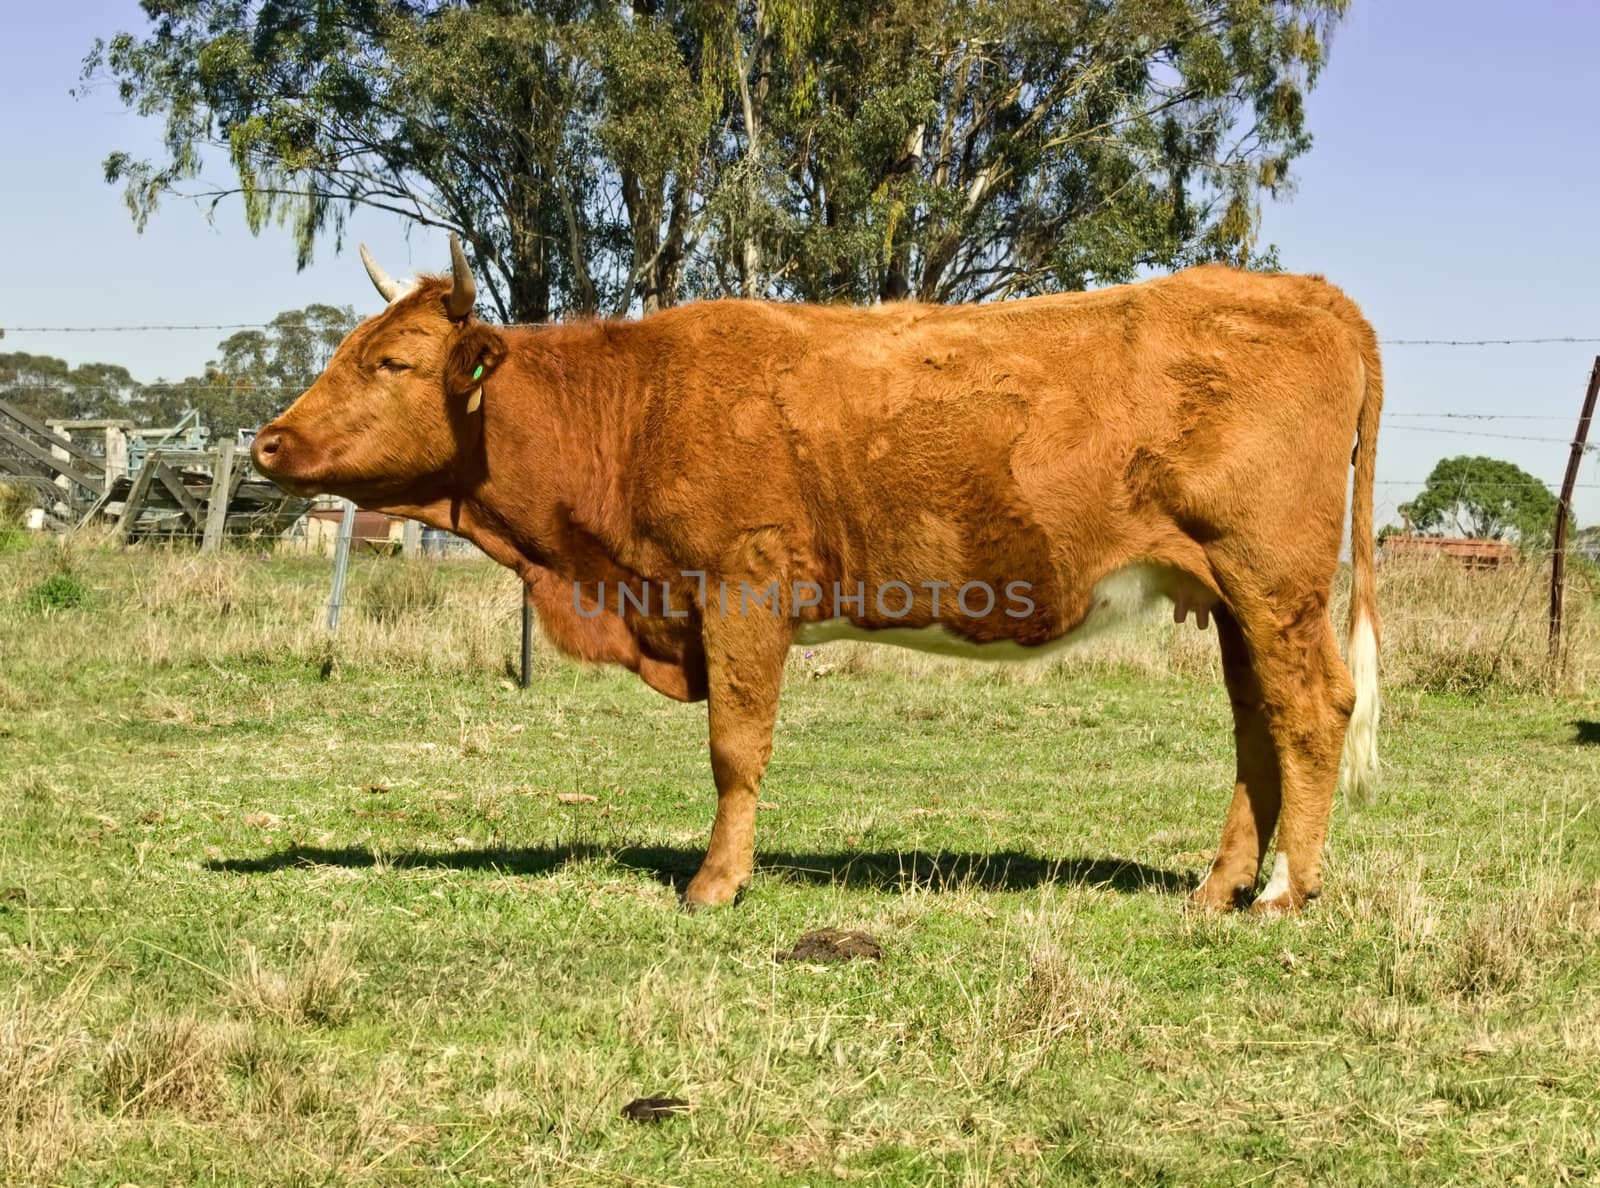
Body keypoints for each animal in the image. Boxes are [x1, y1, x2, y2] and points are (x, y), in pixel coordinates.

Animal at [256, 236, 1382, 915]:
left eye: (393, 363)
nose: (268, 442)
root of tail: (1303, 291)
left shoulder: (741, 583)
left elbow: (734, 746)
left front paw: (715, 883)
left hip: (1271, 577)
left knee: (1314, 707)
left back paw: (1284, 893)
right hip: (1232, 595)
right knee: (1259, 727)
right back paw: (1217, 888)